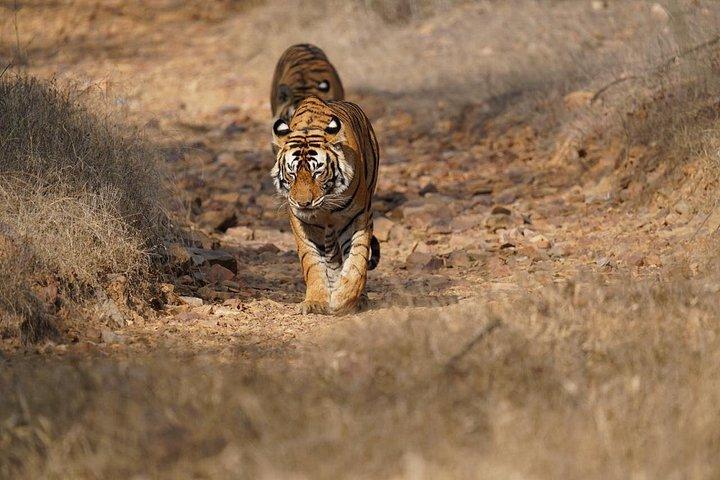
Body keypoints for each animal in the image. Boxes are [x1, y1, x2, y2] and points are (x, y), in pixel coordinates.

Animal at [271, 95, 381, 315]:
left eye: (317, 172)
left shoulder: (357, 217)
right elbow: (312, 263)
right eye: (292, 173)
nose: (303, 203)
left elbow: (357, 260)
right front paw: (316, 301)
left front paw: (343, 298)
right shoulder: (302, 222)